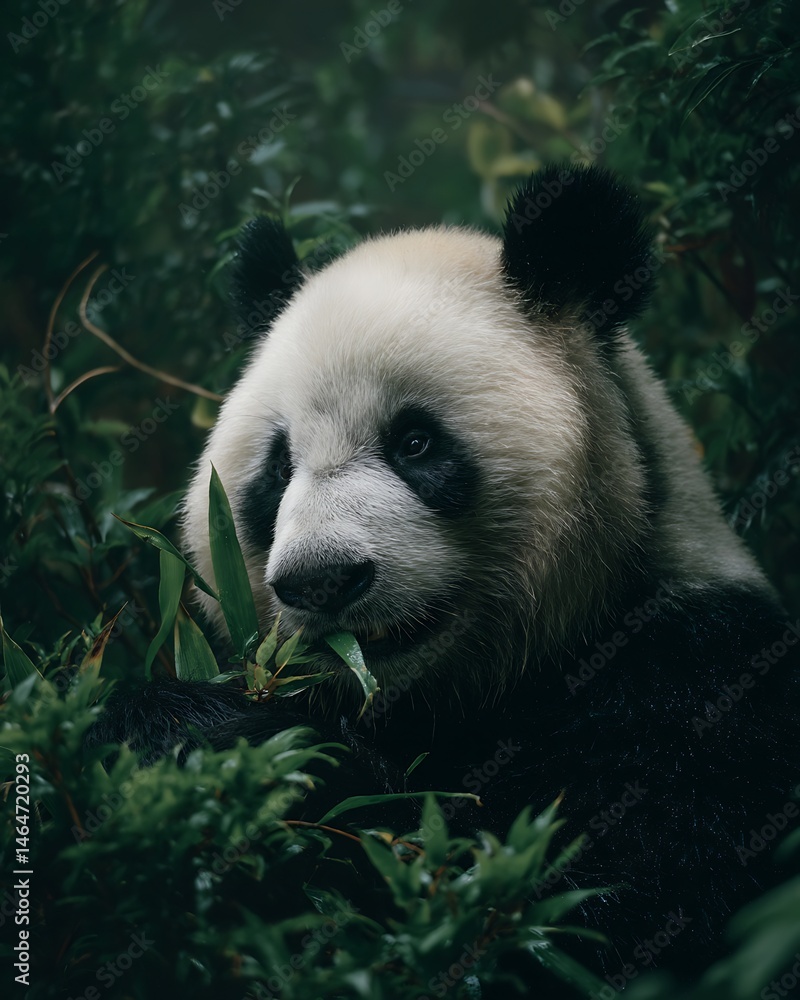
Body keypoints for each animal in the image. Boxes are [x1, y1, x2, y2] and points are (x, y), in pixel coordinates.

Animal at [97, 165, 799, 993]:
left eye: (415, 442)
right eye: (277, 470)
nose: (322, 580)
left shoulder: (696, 683)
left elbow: (554, 911)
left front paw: (234, 746)